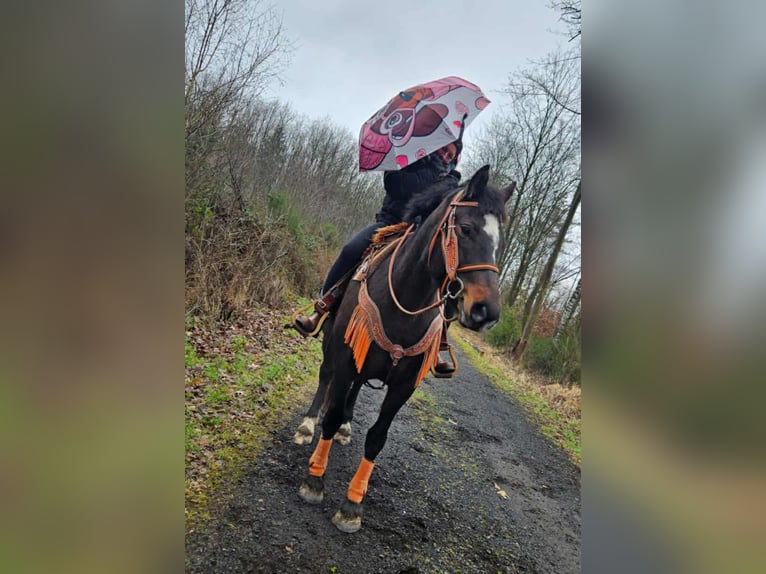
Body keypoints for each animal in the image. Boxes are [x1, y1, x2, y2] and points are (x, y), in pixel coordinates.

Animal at [297, 165, 515, 533]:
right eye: (467, 229)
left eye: (499, 241)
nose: (486, 312)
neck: (406, 300)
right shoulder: (347, 358)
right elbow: (333, 408)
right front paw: (314, 481)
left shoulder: (404, 384)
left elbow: (377, 437)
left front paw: (352, 505)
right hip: (331, 341)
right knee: (325, 379)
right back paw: (308, 424)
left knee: (354, 394)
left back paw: (344, 429)